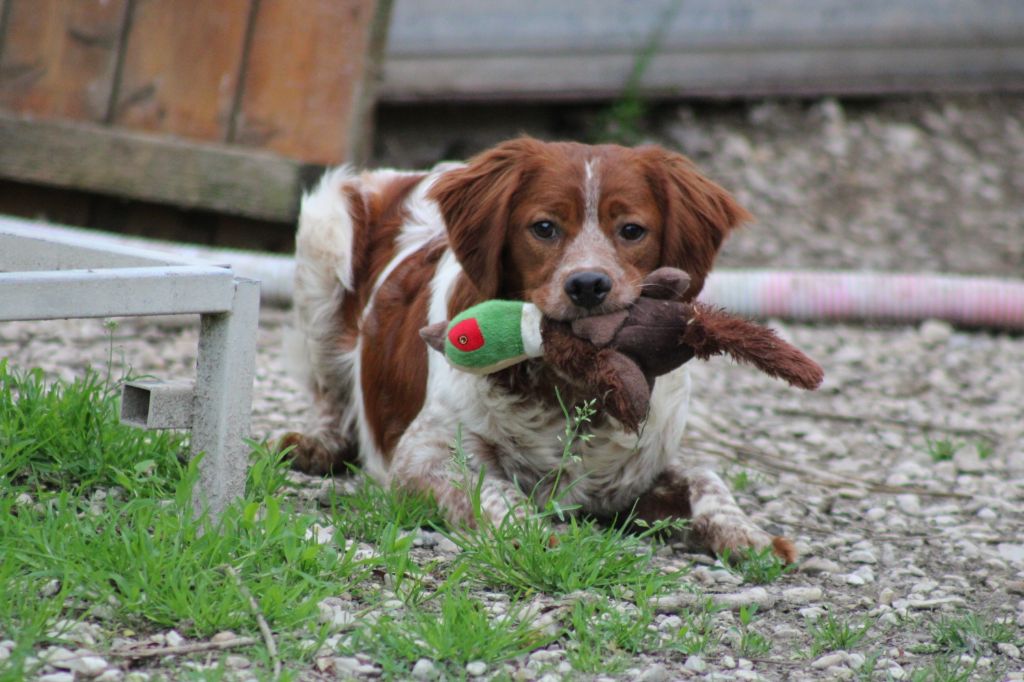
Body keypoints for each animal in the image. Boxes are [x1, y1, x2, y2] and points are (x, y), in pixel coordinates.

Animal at [282, 138, 798, 561]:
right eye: (545, 227)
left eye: (632, 230)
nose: (588, 285)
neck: (567, 388)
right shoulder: (420, 457)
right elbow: (492, 491)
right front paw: (531, 533)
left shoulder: (635, 473)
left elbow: (707, 477)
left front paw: (746, 533)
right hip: (323, 243)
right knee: (330, 393)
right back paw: (315, 445)